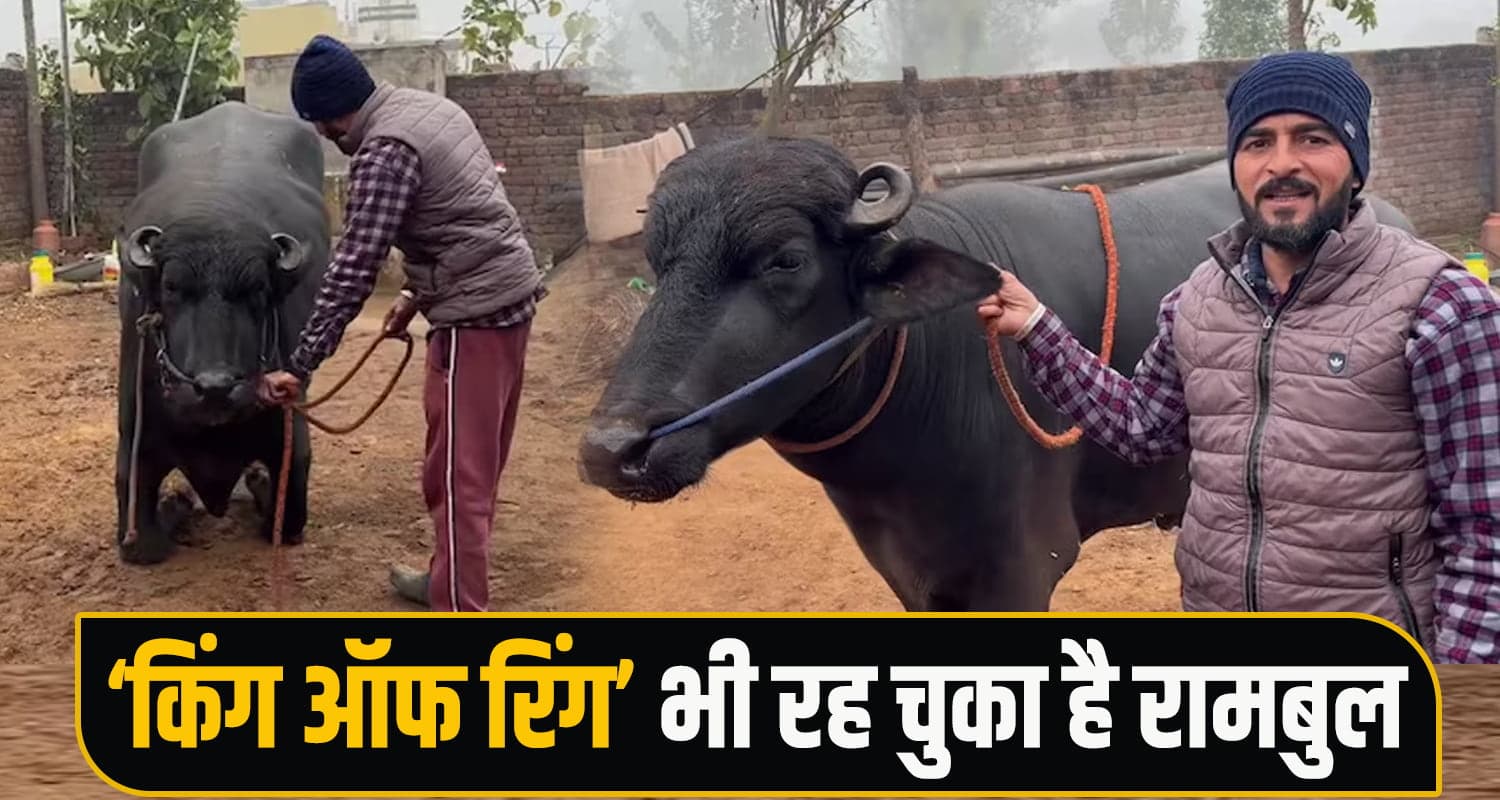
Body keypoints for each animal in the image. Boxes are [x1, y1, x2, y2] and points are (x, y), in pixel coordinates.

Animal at [114, 101, 330, 564]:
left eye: (257, 290)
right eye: (171, 288)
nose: (214, 386)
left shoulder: (290, 434)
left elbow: (286, 517)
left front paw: (258, 481)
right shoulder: (134, 434)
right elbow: (145, 541)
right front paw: (176, 500)